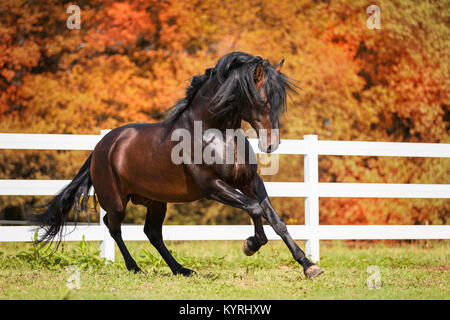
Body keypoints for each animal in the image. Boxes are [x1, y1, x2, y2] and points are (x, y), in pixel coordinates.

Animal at [33, 52, 326, 278]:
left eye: (279, 102)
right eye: (262, 100)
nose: (271, 145)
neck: (215, 132)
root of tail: (102, 146)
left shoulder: (251, 182)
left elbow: (276, 221)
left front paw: (309, 266)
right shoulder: (213, 187)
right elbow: (254, 209)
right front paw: (251, 245)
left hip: (156, 201)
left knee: (152, 232)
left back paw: (181, 269)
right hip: (116, 200)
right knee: (112, 225)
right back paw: (135, 268)